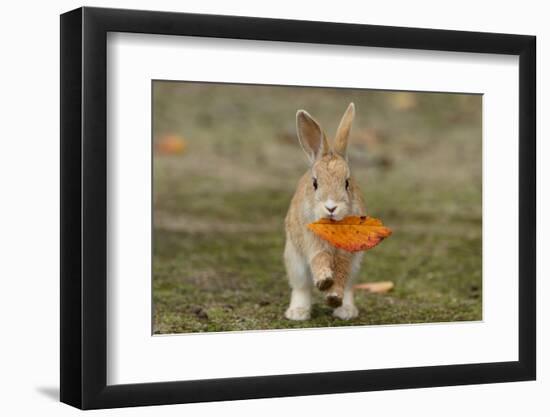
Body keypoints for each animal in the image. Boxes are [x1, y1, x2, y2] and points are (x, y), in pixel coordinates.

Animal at [284, 102, 366, 320]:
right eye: (315, 183)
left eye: (347, 183)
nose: (331, 207)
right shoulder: (312, 242)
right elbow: (319, 258)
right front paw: (324, 281)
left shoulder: (347, 254)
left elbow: (342, 274)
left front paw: (333, 297)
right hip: (295, 261)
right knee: (302, 288)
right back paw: (297, 313)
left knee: (349, 287)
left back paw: (346, 311)